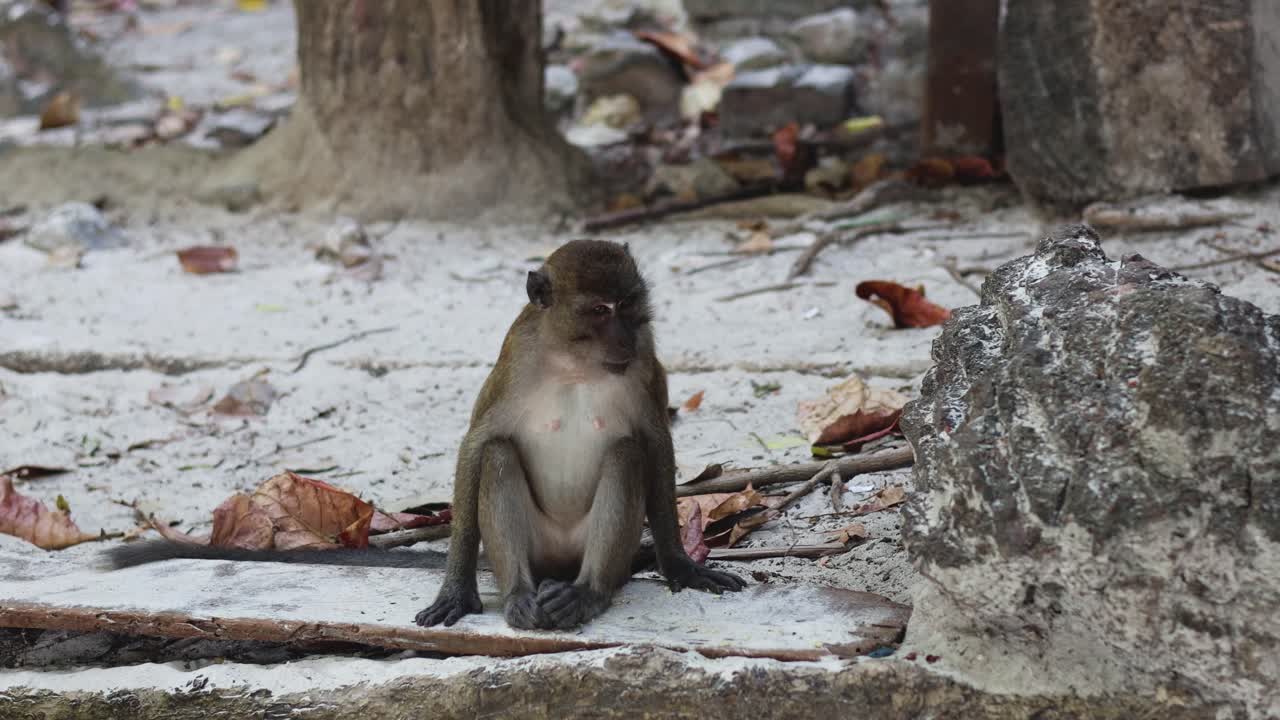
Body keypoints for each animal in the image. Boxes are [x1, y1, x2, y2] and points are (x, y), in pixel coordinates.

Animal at [105, 240, 745, 631]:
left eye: (632, 308)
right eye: (599, 310)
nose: (626, 339)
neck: (574, 365)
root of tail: (558, 567)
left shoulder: (646, 368)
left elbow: (652, 443)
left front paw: (681, 566)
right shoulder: (515, 361)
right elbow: (479, 444)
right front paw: (456, 589)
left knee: (624, 453)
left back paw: (586, 592)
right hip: (532, 548)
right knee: (501, 457)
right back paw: (520, 594)